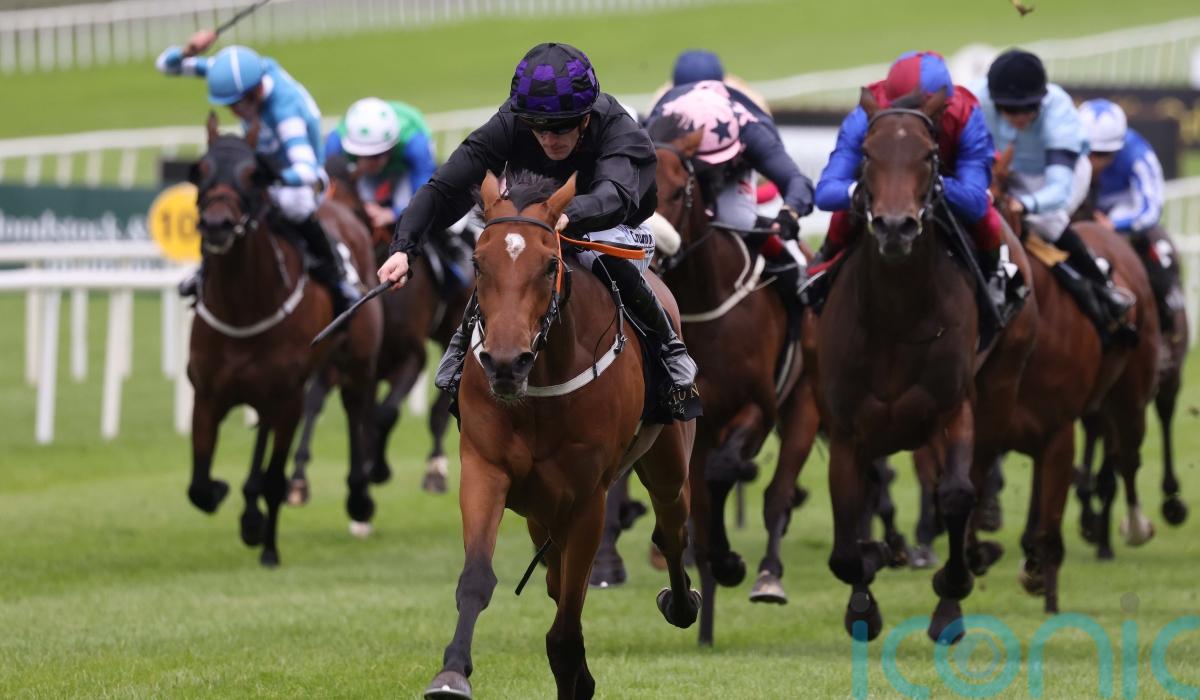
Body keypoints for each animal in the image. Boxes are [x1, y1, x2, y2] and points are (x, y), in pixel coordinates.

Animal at [185, 113, 382, 566]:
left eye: (253, 175)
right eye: (201, 169)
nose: (217, 225)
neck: (243, 308)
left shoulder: (289, 397)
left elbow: (276, 478)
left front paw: (270, 550)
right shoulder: (207, 394)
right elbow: (199, 486)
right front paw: (233, 501)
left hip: (356, 362)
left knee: (357, 411)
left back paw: (359, 499)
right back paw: (250, 511)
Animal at [287, 155, 472, 507]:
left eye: (349, 208)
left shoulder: (412, 357)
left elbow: (384, 414)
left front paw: (378, 469)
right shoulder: (344, 360)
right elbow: (316, 405)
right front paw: (299, 479)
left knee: (438, 408)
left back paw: (435, 469)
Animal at [423, 171, 698, 700]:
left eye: (550, 262)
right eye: (477, 262)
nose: (505, 363)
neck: (540, 386)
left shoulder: (588, 497)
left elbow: (568, 623)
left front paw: (576, 673)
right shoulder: (486, 468)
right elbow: (477, 577)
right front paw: (451, 672)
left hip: (668, 460)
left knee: (671, 527)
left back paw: (682, 603)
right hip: (539, 509)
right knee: (554, 573)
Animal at [631, 114, 806, 645]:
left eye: (680, 189)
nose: (653, 252)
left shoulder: (758, 408)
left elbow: (725, 471)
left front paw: (730, 560)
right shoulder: (695, 423)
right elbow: (702, 493)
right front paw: (715, 559)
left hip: (805, 405)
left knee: (777, 494)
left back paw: (768, 576)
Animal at [815, 88, 1038, 642]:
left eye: (930, 156)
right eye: (867, 154)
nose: (896, 226)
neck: (896, 316)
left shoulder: (950, 410)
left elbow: (956, 494)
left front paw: (950, 595)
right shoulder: (847, 429)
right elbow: (847, 541)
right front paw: (865, 592)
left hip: (999, 386)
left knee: (972, 476)